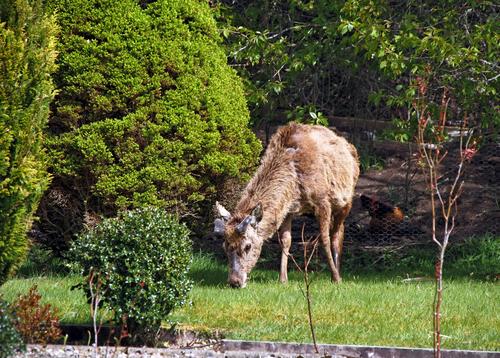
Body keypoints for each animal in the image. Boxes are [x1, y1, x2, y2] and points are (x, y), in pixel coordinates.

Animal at [213, 123, 358, 288]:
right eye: (225, 246)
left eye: (248, 246)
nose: (235, 282)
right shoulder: (287, 209)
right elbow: (285, 240)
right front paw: (283, 279)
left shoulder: (322, 201)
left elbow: (324, 239)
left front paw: (336, 277)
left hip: (346, 199)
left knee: (336, 233)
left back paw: (337, 274)